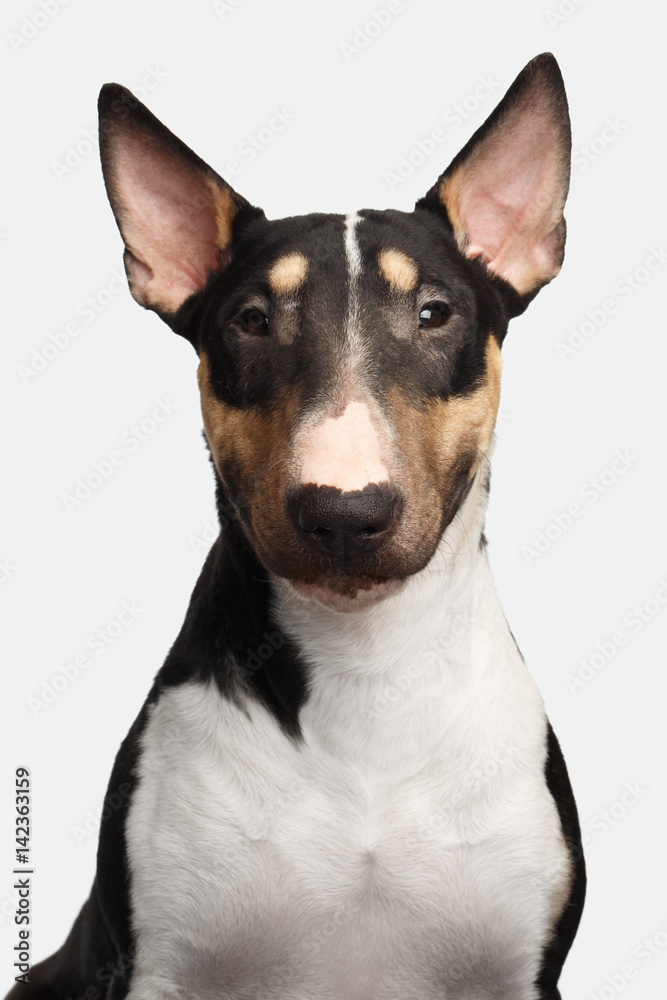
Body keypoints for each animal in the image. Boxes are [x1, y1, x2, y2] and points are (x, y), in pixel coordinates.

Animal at [9, 52, 584, 1000]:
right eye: (250, 320)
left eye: (435, 313)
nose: (345, 514)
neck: (366, 676)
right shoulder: (153, 965)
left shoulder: (519, 972)